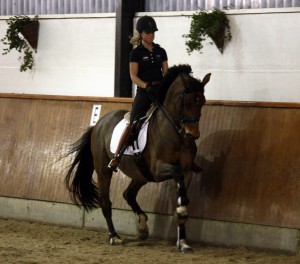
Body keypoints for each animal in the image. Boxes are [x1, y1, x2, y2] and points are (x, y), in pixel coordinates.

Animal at [65, 65, 211, 253]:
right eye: (186, 101)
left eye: (202, 101)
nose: (192, 134)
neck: (175, 133)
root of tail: (100, 123)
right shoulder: (159, 170)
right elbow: (177, 177)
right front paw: (181, 214)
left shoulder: (187, 172)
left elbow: (183, 197)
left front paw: (183, 241)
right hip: (104, 170)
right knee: (106, 202)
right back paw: (114, 236)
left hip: (141, 174)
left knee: (128, 194)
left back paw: (142, 226)